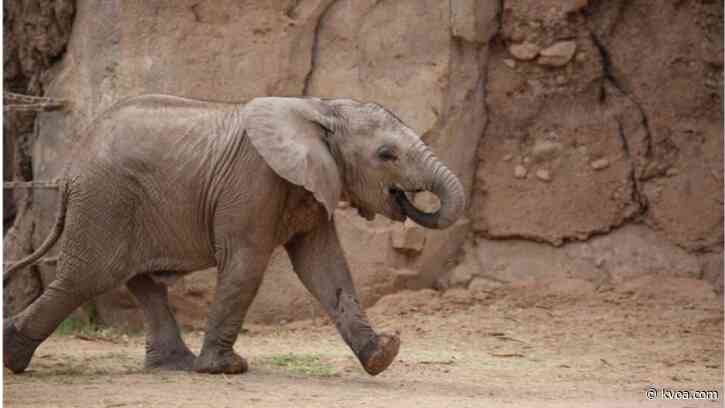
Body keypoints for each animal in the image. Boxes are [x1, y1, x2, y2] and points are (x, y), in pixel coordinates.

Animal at [3, 94, 465, 376]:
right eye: (387, 155)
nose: (407, 201)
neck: (319, 108)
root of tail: (71, 163)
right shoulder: (253, 181)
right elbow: (246, 264)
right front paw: (225, 369)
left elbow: (325, 267)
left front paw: (383, 355)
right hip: (105, 198)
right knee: (85, 279)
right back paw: (12, 357)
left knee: (138, 280)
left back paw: (175, 365)